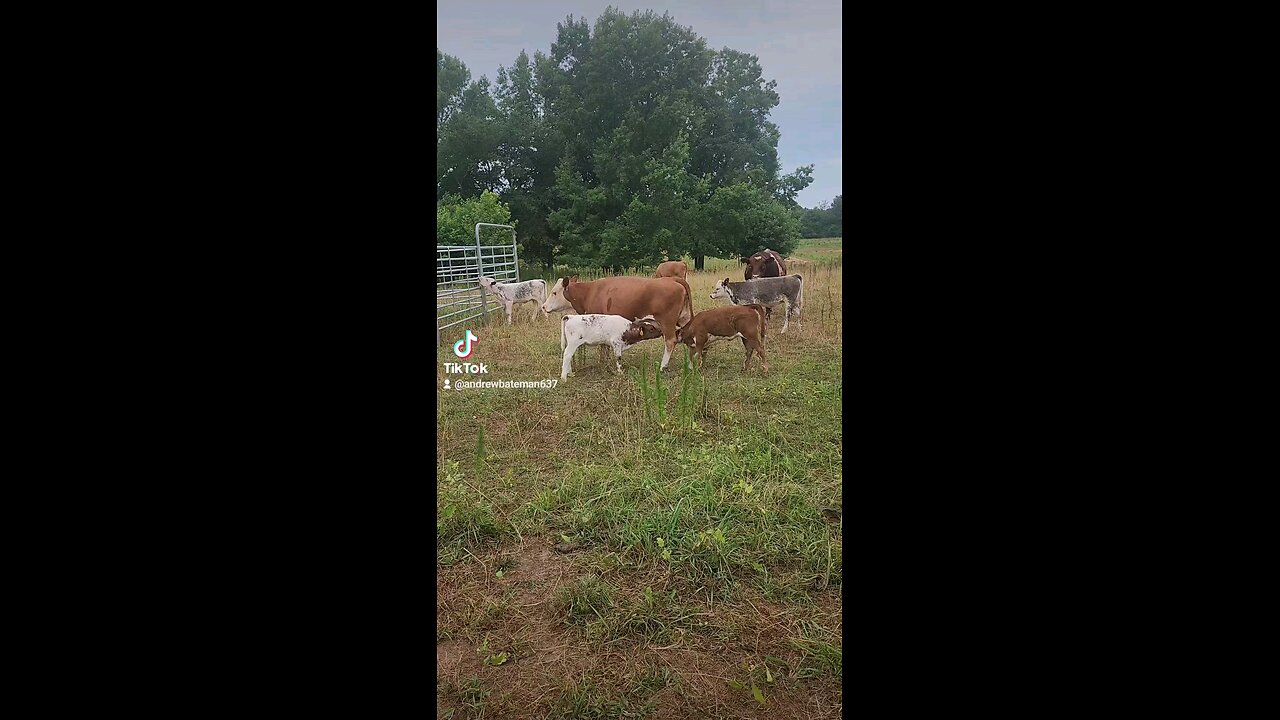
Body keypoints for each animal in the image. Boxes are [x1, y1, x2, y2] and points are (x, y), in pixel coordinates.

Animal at [542, 275, 696, 371]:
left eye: (554, 292)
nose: (543, 306)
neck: (589, 292)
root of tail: (673, 279)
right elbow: (604, 346)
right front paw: (604, 361)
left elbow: (603, 346)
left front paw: (603, 361)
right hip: (684, 318)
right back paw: (691, 364)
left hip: (666, 322)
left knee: (670, 341)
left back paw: (663, 366)